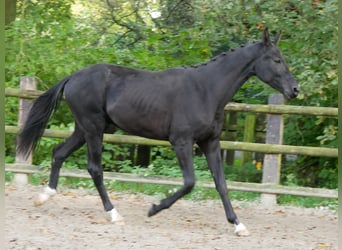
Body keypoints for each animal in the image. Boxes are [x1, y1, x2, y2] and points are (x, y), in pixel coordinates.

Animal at [17, 28, 298, 235]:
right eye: (276, 60)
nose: (294, 89)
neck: (206, 90)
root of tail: (73, 77)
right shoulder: (182, 142)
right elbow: (189, 183)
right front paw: (153, 209)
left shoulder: (210, 143)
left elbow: (221, 184)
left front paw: (238, 225)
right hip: (93, 128)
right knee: (94, 168)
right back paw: (113, 214)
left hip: (84, 129)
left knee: (58, 152)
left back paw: (44, 197)